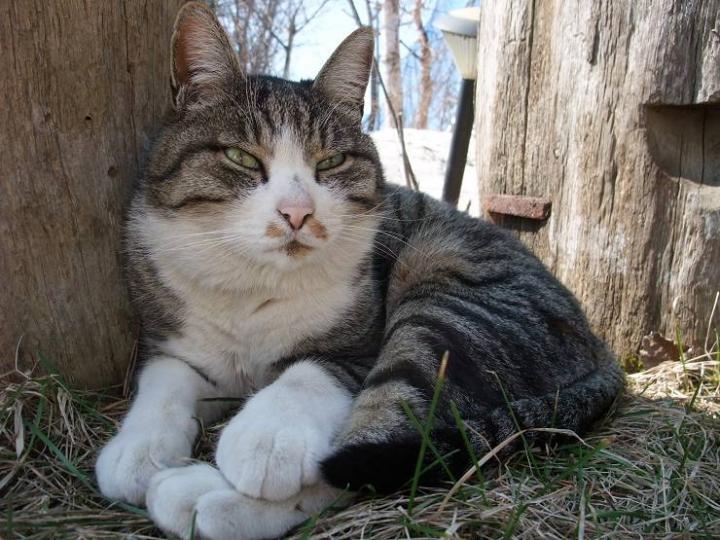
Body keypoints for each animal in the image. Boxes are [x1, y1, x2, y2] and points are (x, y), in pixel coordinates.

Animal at [95, 3, 624, 539]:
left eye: (331, 162)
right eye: (241, 156)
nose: (297, 213)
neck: (255, 283)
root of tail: (598, 344)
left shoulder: (361, 346)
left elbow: (311, 372)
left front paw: (268, 438)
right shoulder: (179, 338)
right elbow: (165, 379)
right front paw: (137, 451)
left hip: (450, 306)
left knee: (378, 452)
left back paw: (204, 499)